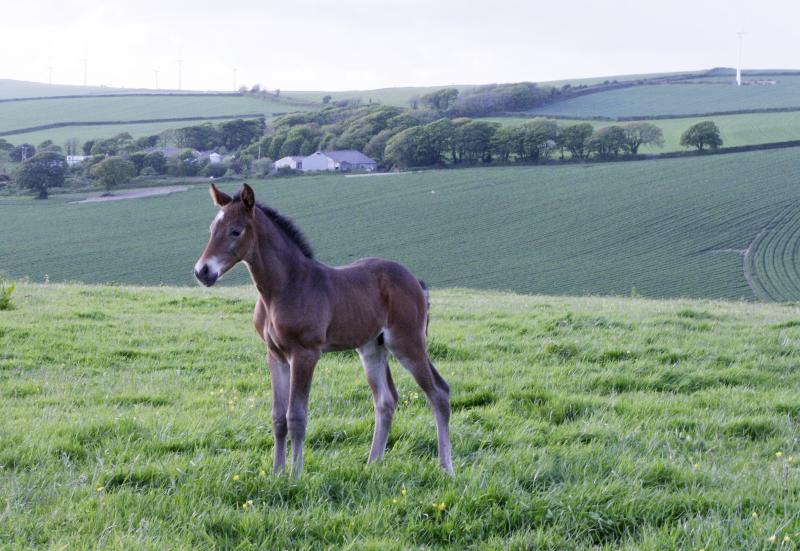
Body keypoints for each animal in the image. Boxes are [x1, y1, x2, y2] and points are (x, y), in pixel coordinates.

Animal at [195, 183, 454, 476]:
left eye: (236, 231)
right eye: (212, 229)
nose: (202, 271)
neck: (284, 288)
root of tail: (416, 282)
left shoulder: (305, 353)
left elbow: (296, 416)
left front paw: (294, 475)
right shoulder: (275, 355)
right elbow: (277, 418)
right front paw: (276, 474)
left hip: (407, 342)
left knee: (438, 393)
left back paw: (446, 468)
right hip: (372, 349)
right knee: (386, 400)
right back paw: (372, 464)